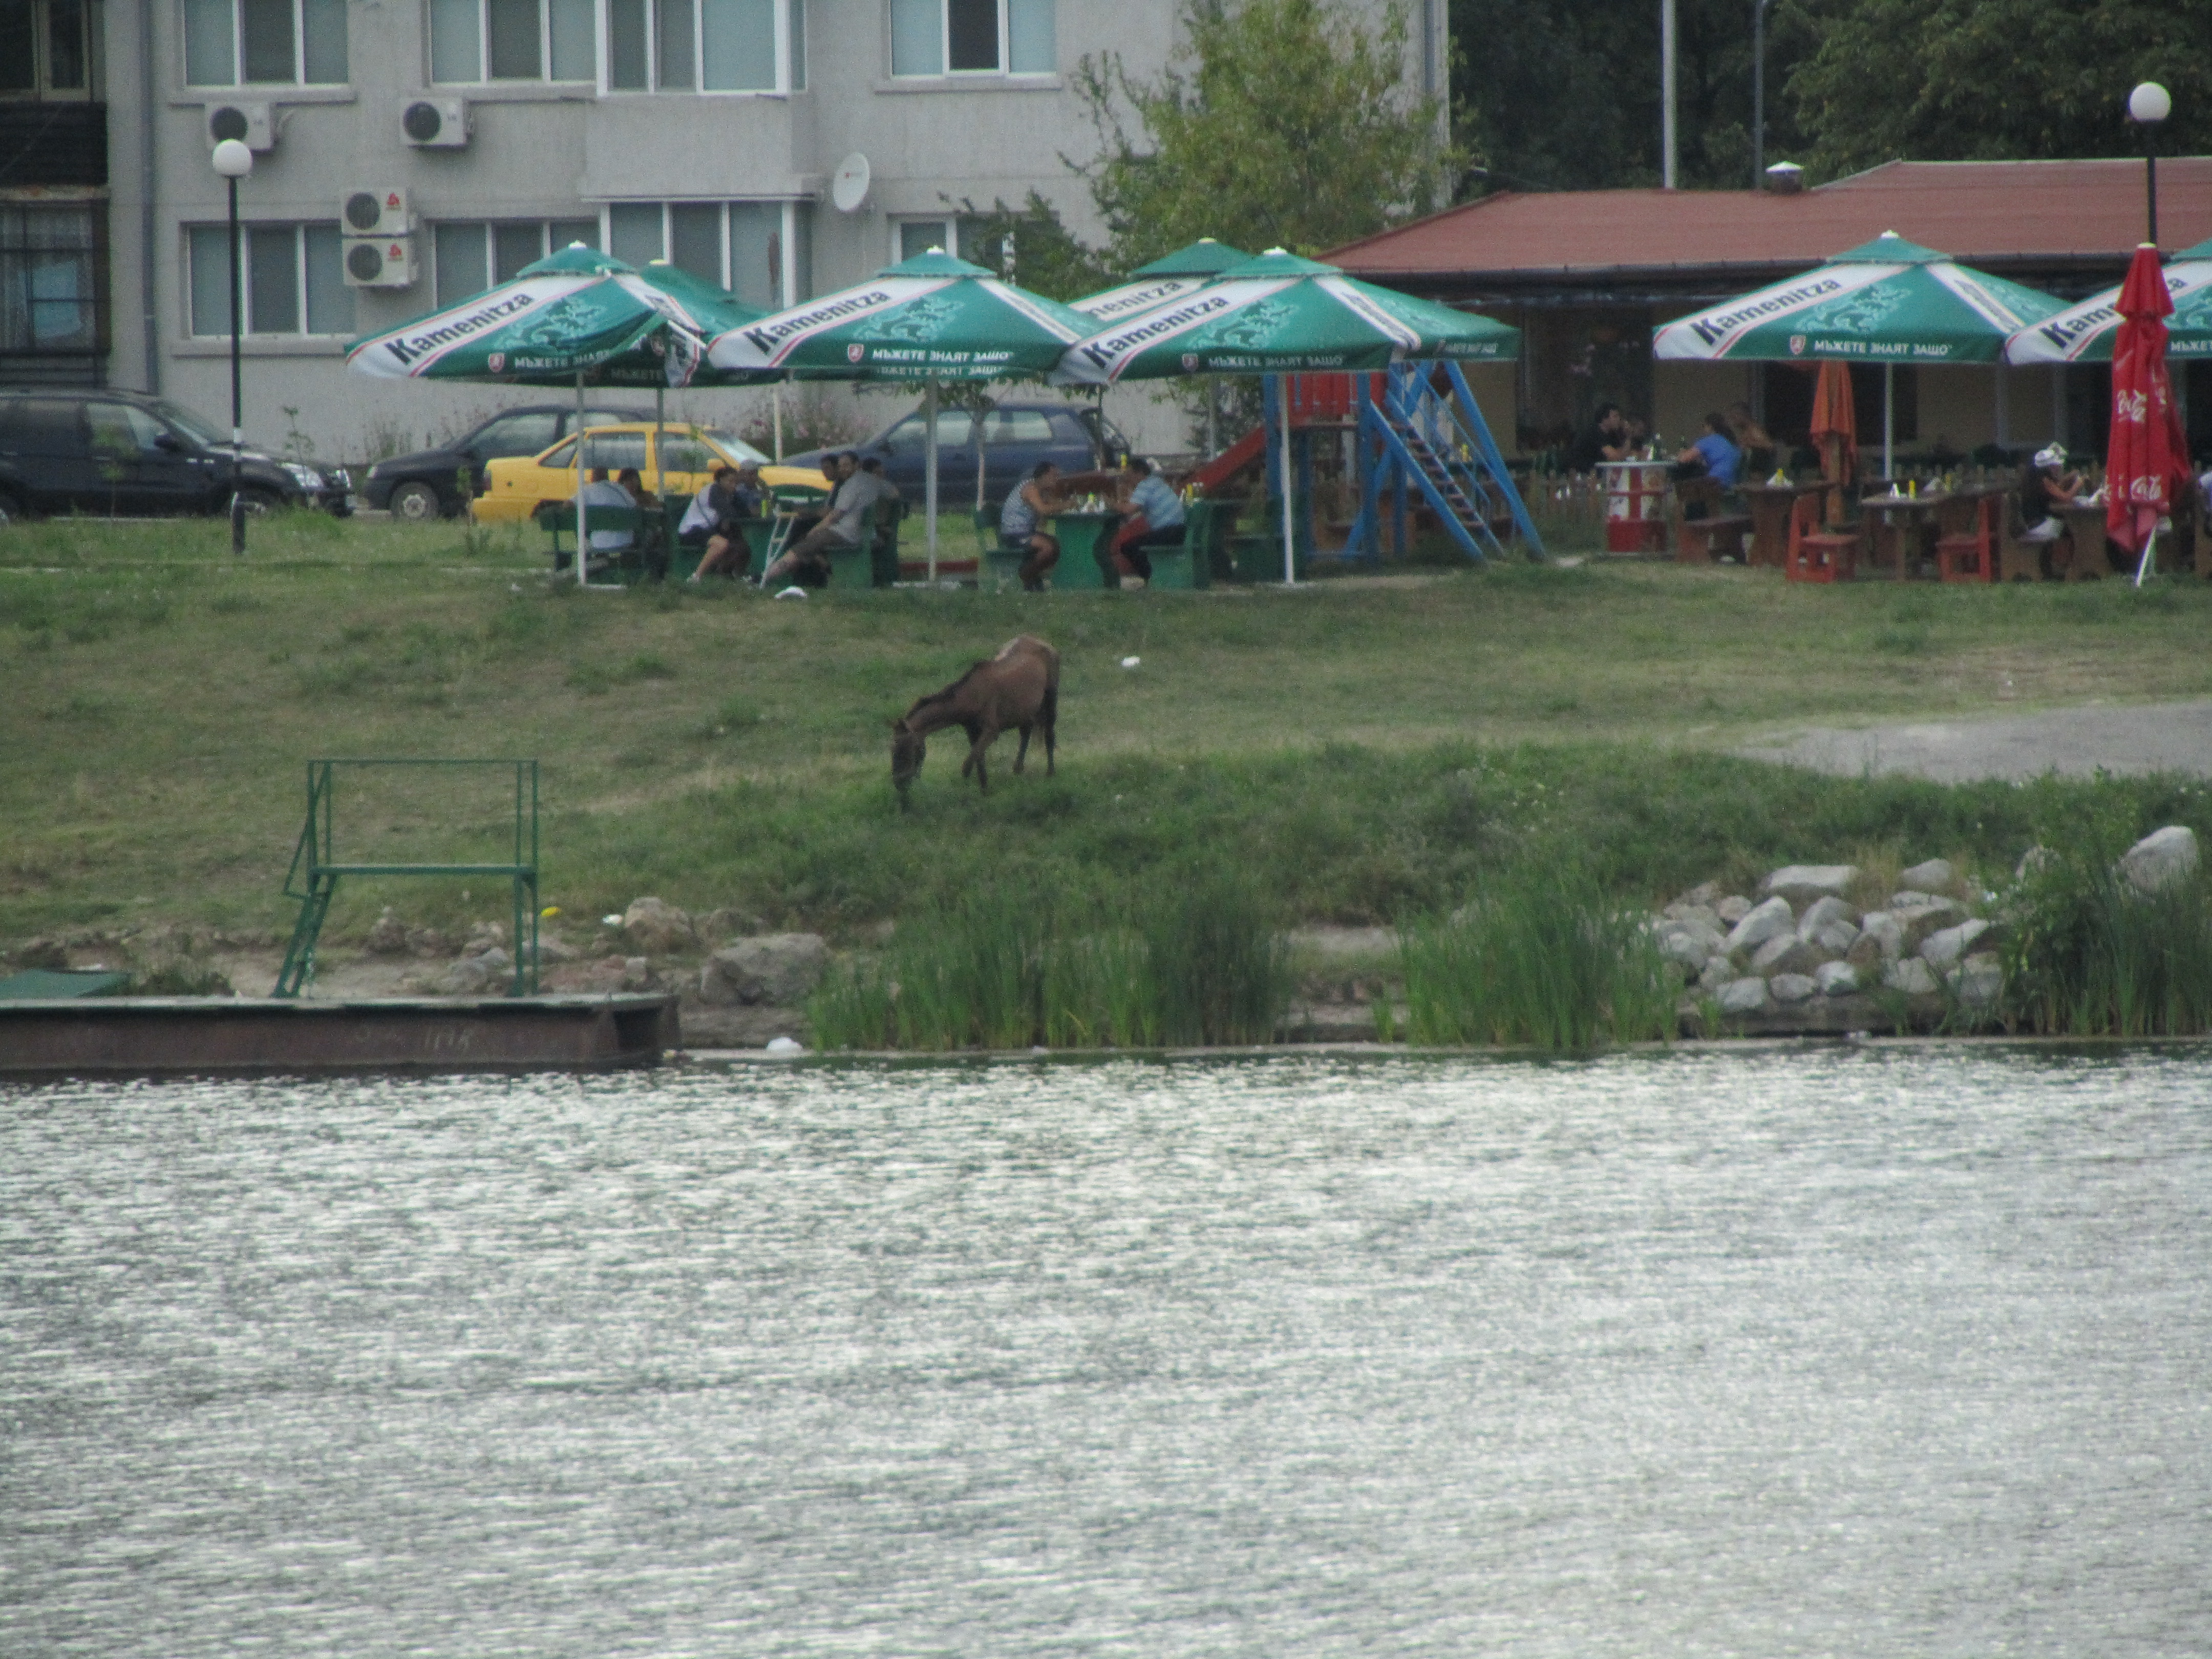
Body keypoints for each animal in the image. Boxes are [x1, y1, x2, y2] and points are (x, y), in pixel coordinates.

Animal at [894, 632, 1057, 810]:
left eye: (906, 750)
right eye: (892, 749)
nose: (898, 784)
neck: (973, 695)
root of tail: (1043, 643)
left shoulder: (991, 731)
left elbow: (968, 766)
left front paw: (966, 797)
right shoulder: (972, 732)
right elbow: (979, 761)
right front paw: (985, 791)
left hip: (1050, 701)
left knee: (1049, 736)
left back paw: (1050, 774)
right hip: (1025, 712)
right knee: (1025, 735)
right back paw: (1018, 770)